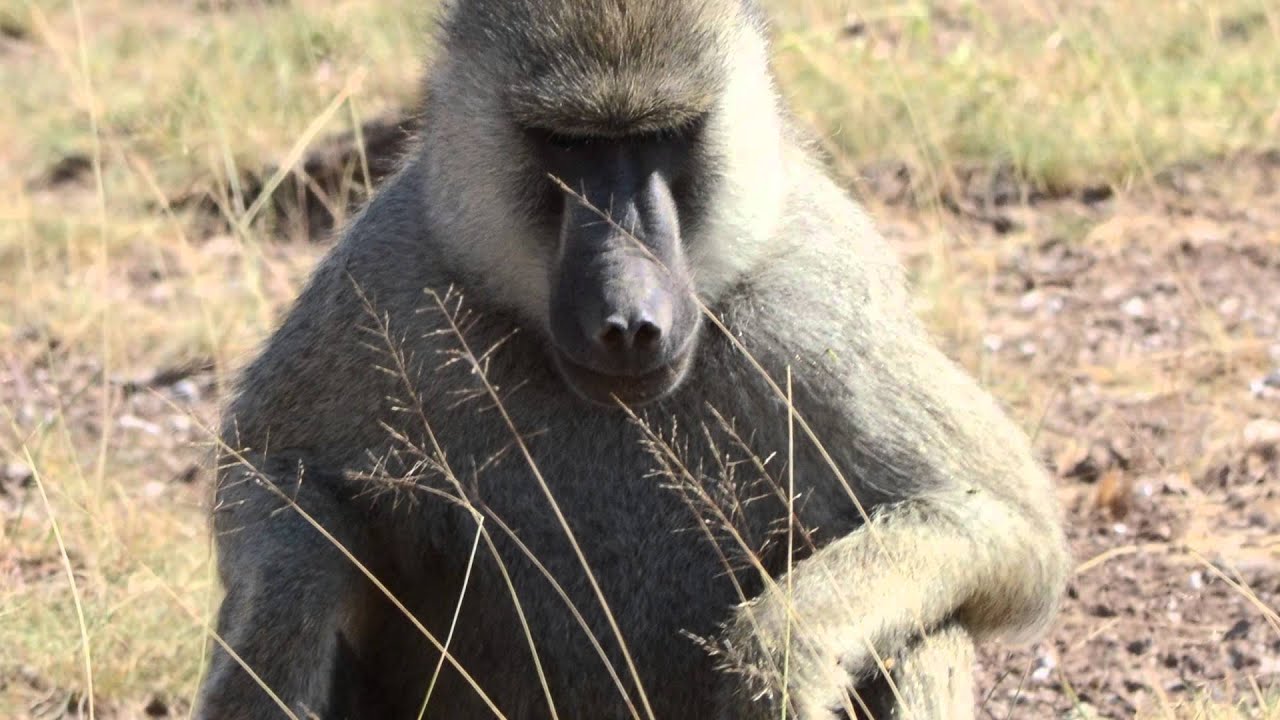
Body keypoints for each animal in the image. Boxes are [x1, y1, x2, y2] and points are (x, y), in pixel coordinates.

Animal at [194, 1, 1069, 719]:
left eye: (660, 137)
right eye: (568, 144)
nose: (628, 321)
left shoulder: (811, 306)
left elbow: (1000, 520)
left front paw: (777, 659)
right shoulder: (390, 281)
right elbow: (273, 473)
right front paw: (284, 633)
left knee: (926, 628)